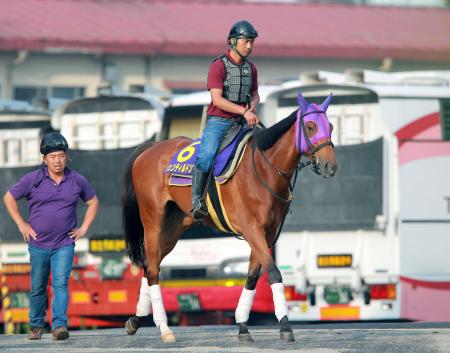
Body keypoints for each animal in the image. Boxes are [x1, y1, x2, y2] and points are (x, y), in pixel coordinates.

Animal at [121, 91, 336, 340]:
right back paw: (164, 327)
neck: (264, 169)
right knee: (154, 269)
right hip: (153, 221)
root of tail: (149, 149)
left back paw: (136, 320)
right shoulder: (252, 230)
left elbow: (252, 277)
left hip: (175, 227)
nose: (330, 166)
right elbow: (273, 273)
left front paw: (242, 324)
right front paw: (284, 325)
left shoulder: (266, 234)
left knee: (149, 265)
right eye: (310, 126)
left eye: (330, 126)